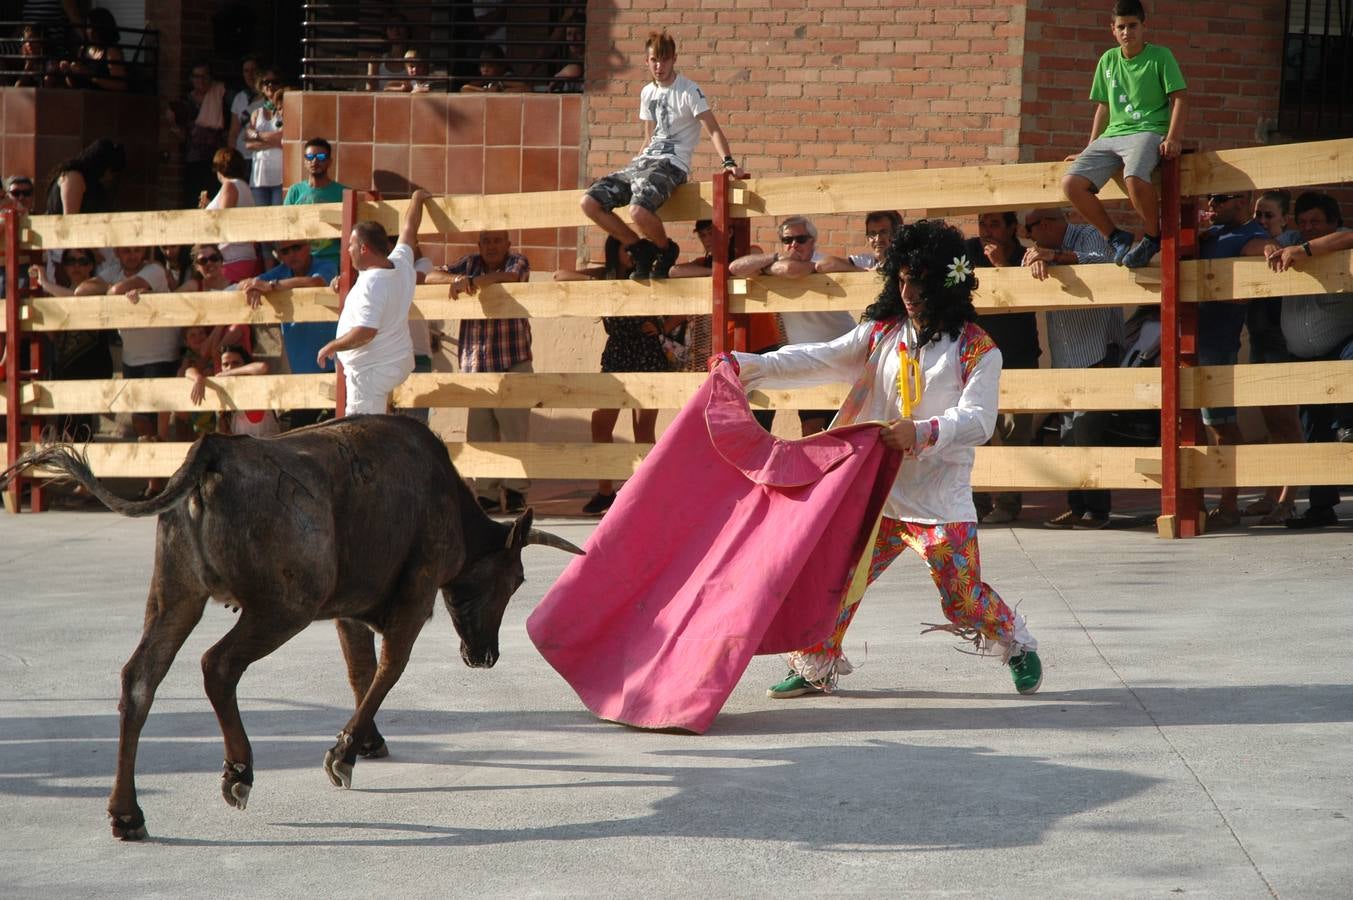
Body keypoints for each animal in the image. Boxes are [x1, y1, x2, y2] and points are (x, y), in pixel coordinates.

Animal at [0, 416, 581, 839]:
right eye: (517, 578)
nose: (486, 656)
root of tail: (214, 452)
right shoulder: (413, 598)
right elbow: (389, 669)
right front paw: (343, 755)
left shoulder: (349, 608)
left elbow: (360, 670)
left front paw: (366, 742)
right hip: (285, 607)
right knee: (217, 665)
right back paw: (238, 772)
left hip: (177, 594)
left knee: (140, 678)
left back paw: (127, 814)